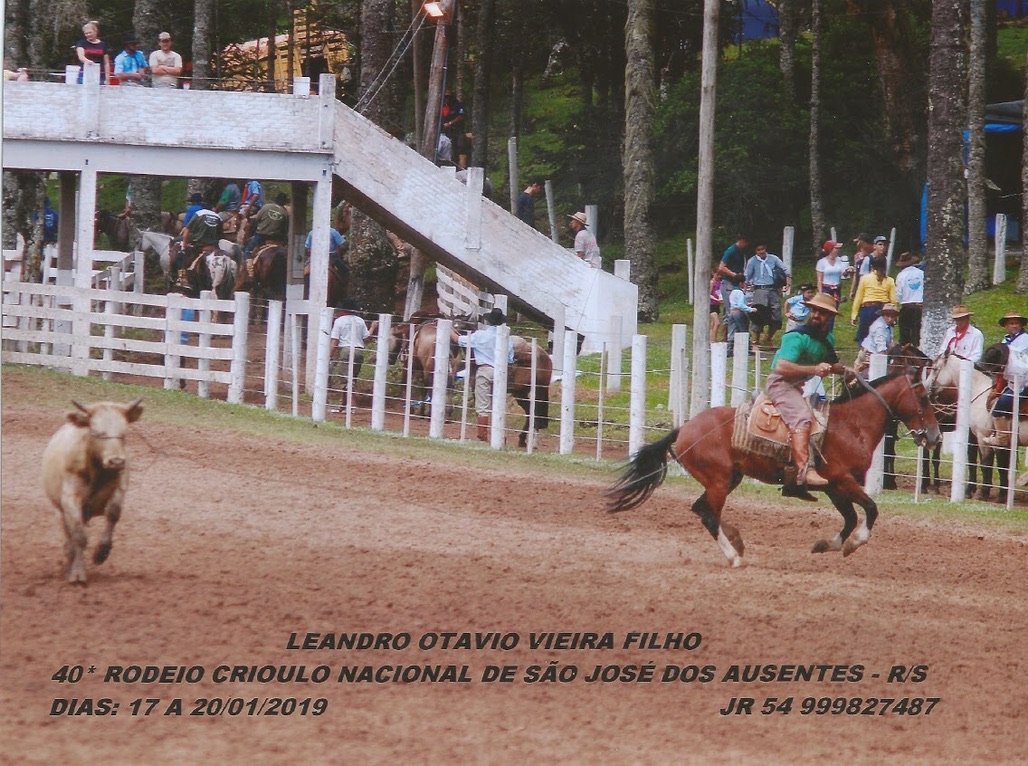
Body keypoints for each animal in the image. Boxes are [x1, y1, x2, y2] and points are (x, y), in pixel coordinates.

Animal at [42, 399, 144, 584]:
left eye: (123, 433)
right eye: (97, 432)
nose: (116, 461)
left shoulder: (119, 488)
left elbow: (113, 513)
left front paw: (101, 553)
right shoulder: (70, 499)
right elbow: (79, 536)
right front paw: (78, 573)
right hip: (60, 511)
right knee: (69, 535)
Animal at [606, 369, 941, 567]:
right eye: (924, 398)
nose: (936, 436)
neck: (851, 425)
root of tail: (683, 429)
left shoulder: (834, 488)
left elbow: (849, 519)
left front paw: (826, 545)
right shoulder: (843, 481)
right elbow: (870, 510)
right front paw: (853, 545)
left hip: (728, 479)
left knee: (702, 509)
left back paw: (737, 541)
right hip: (719, 480)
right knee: (708, 515)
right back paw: (734, 556)